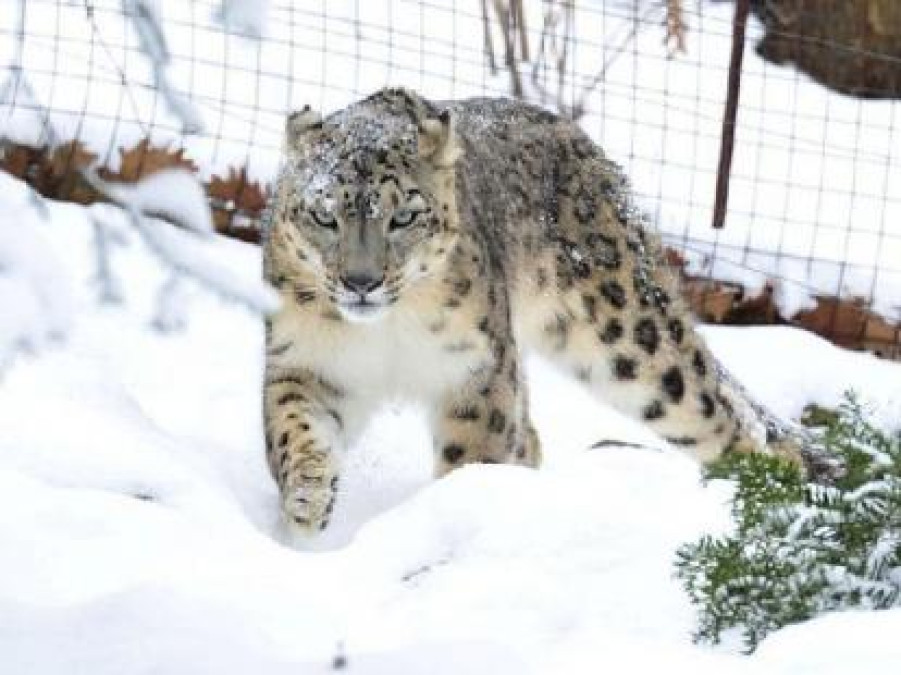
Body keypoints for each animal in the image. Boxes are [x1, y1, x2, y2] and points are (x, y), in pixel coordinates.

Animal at [262, 87, 809, 534]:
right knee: (533, 439)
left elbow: (472, 452)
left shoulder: (477, 371)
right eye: (324, 215)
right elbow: (291, 426)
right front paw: (308, 498)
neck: (387, 334)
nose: (361, 282)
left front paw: (455, 508)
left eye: (403, 216)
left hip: (631, 337)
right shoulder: (304, 361)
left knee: (725, 418)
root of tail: (591, 151)